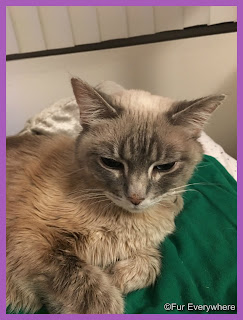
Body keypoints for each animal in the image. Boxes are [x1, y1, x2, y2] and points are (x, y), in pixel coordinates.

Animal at [6, 78, 224, 316]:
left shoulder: (145, 246)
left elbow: (152, 264)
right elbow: (88, 287)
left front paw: (113, 276)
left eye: (164, 167)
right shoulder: (31, 240)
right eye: (111, 163)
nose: (136, 198)